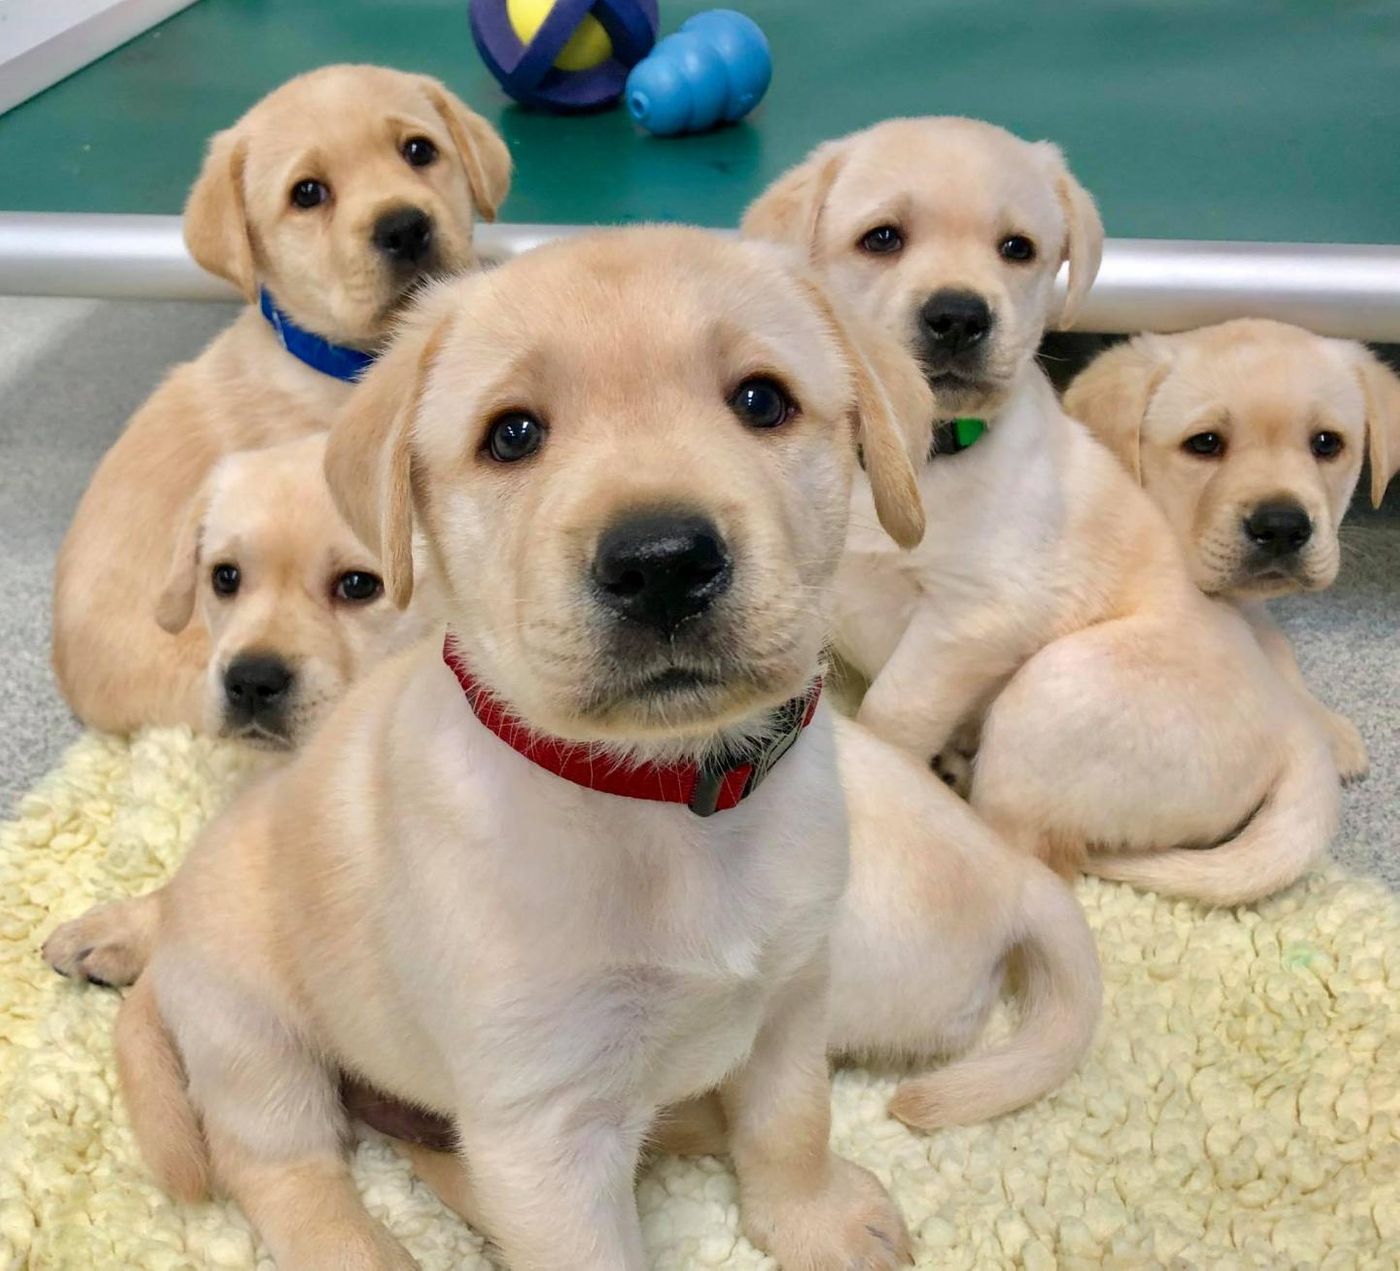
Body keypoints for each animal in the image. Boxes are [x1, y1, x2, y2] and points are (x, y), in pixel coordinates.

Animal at [114, 230, 924, 1271]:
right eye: (512, 435)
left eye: (761, 399)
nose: (661, 561)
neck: (661, 793)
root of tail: (169, 935)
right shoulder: (547, 1130)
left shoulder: (790, 993)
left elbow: (794, 1120)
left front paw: (816, 1219)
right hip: (254, 1035)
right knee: (282, 1167)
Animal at [744, 118, 1344, 907]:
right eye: (882, 238)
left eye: (1017, 249)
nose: (959, 316)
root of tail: (1293, 729)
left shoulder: (975, 618)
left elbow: (891, 713)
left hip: (1053, 690)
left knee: (1037, 852)